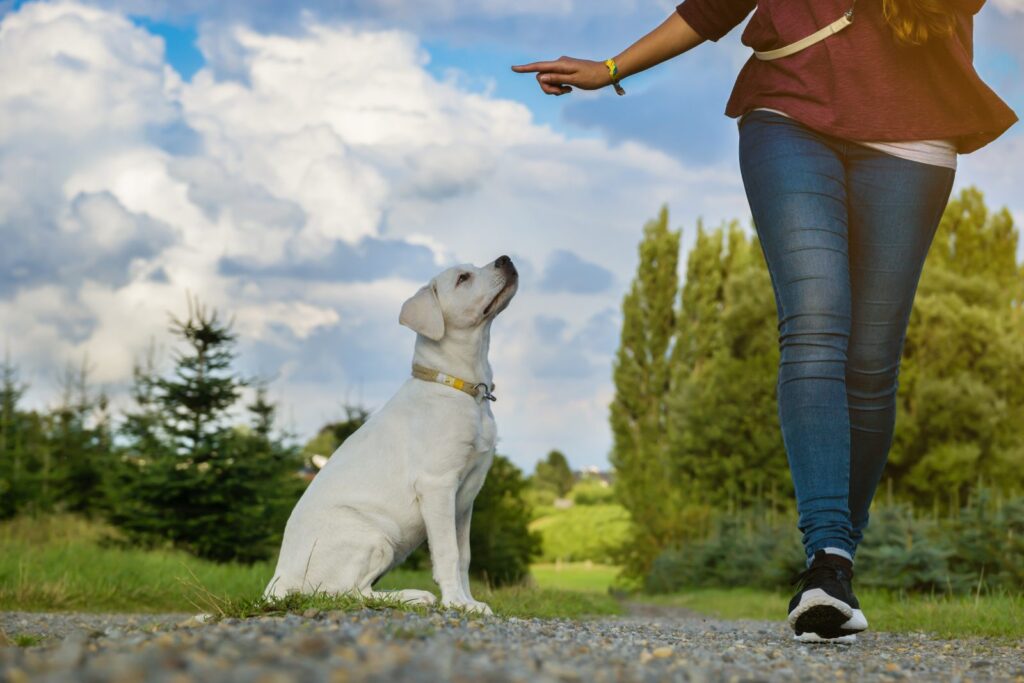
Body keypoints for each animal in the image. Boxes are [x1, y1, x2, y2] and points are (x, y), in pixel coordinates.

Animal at [266, 254, 520, 614]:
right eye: (463, 278)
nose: (505, 259)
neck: (462, 387)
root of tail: (278, 582)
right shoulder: (438, 484)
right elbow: (447, 553)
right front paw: (456, 603)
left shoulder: (464, 498)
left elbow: (464, 556)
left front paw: (470, 602)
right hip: (373, 533)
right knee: (346, 592)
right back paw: (414, 597)